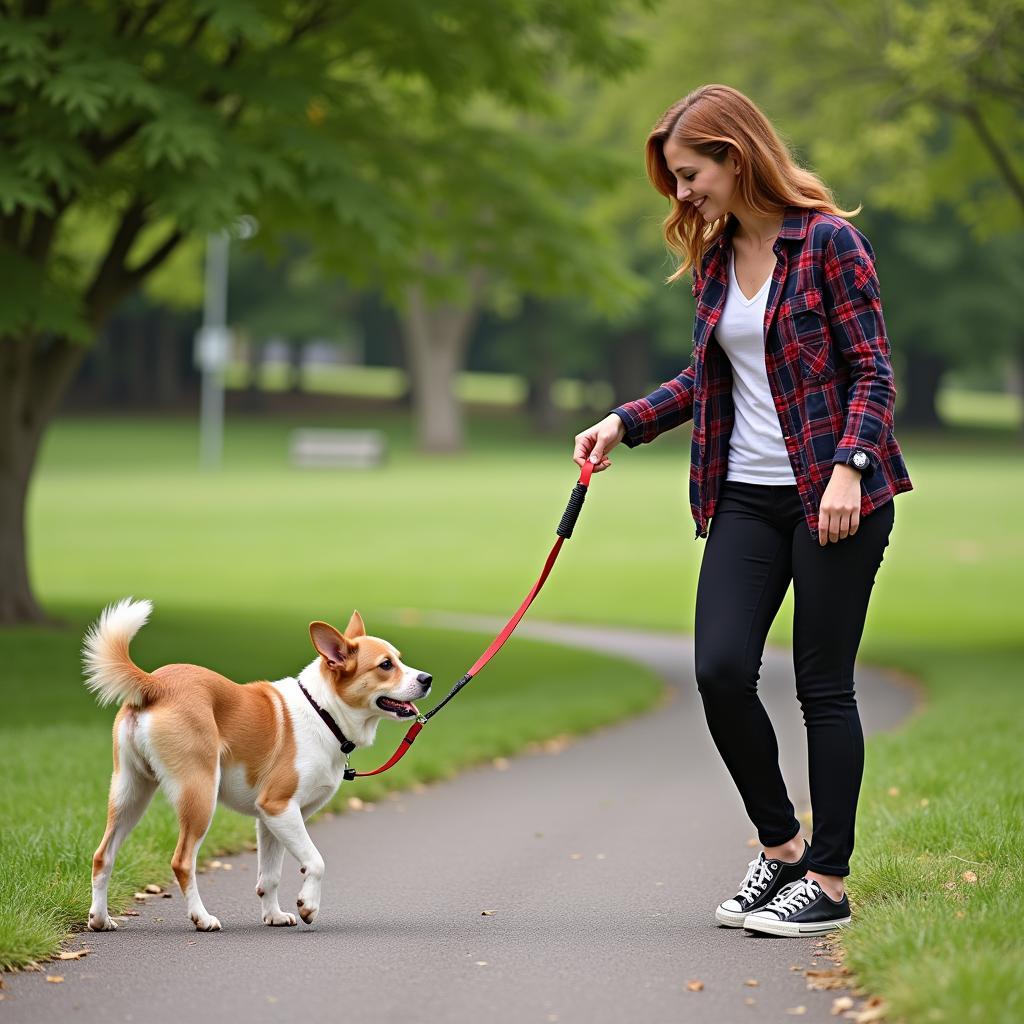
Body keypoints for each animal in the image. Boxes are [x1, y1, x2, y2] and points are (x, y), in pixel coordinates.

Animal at [81, 598, 430, 933]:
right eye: (386, 665)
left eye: (399, 659)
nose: (427, 679)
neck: (322, 711)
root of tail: (155, 683)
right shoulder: (279, 806)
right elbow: (316, 861)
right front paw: (308, 905)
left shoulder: (271, 819)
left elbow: (270, 877)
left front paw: (273, 915)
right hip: (199, 794)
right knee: (182, 862)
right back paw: (202, 918)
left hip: (131, 793)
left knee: (102, 856)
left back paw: (100, 919)